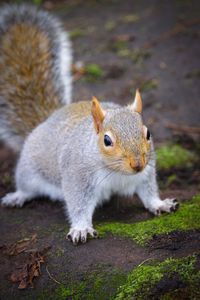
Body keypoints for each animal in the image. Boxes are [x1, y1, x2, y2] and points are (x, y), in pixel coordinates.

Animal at [0, 4, 178, 245]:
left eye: (148, 133)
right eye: (107, 140)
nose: (137, 164)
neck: (116, 173)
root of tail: (46, 120)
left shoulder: (146, 172)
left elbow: (148, 191)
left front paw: (160, 204)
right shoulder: (77, 175)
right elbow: (78, 205)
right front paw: (81, 228)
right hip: (28, 171)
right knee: (26, 187)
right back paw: (17, 196)